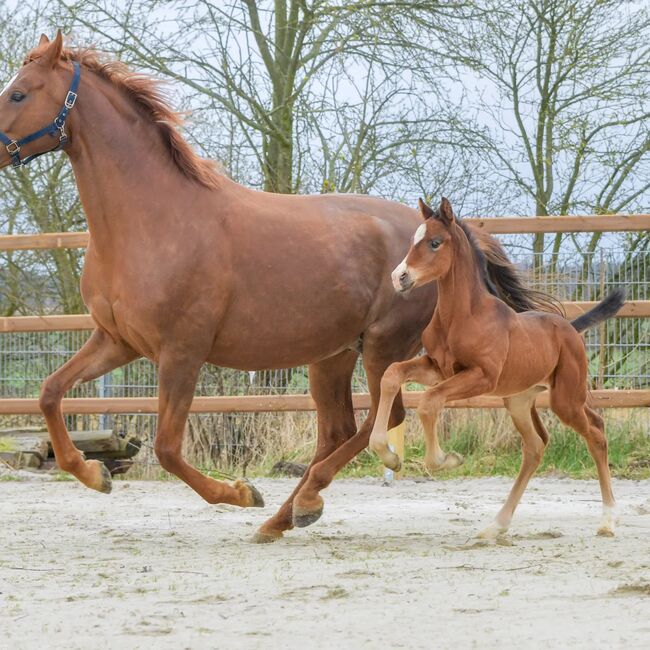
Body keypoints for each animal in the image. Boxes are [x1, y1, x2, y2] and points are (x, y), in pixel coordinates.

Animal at [0, 34, 548, 540]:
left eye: (20, 93)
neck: (151, 221)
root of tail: (447, 234)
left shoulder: (182, 352)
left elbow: (168, 449)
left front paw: (242, 493)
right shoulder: (117, 341)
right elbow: (49, 393)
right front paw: (95, 475)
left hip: (381, 347)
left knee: (378, 418)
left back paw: (301, 503)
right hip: (332, 355)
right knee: (340, 429)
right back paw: (286, 517)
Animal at [370, 197, 624, 536]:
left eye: (435, 242)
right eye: (413, 240)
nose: (399, 277)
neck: (462, 316)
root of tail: (569, 328)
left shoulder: (482, 377)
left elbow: (429, 402)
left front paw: (447, 460)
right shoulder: (437, 367)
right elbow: (391, 375)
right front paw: (388, 456)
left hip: (565, 399)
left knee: (595, 432)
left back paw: (608, 520)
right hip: (519, 400)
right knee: (536, 446)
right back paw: (495, 527)